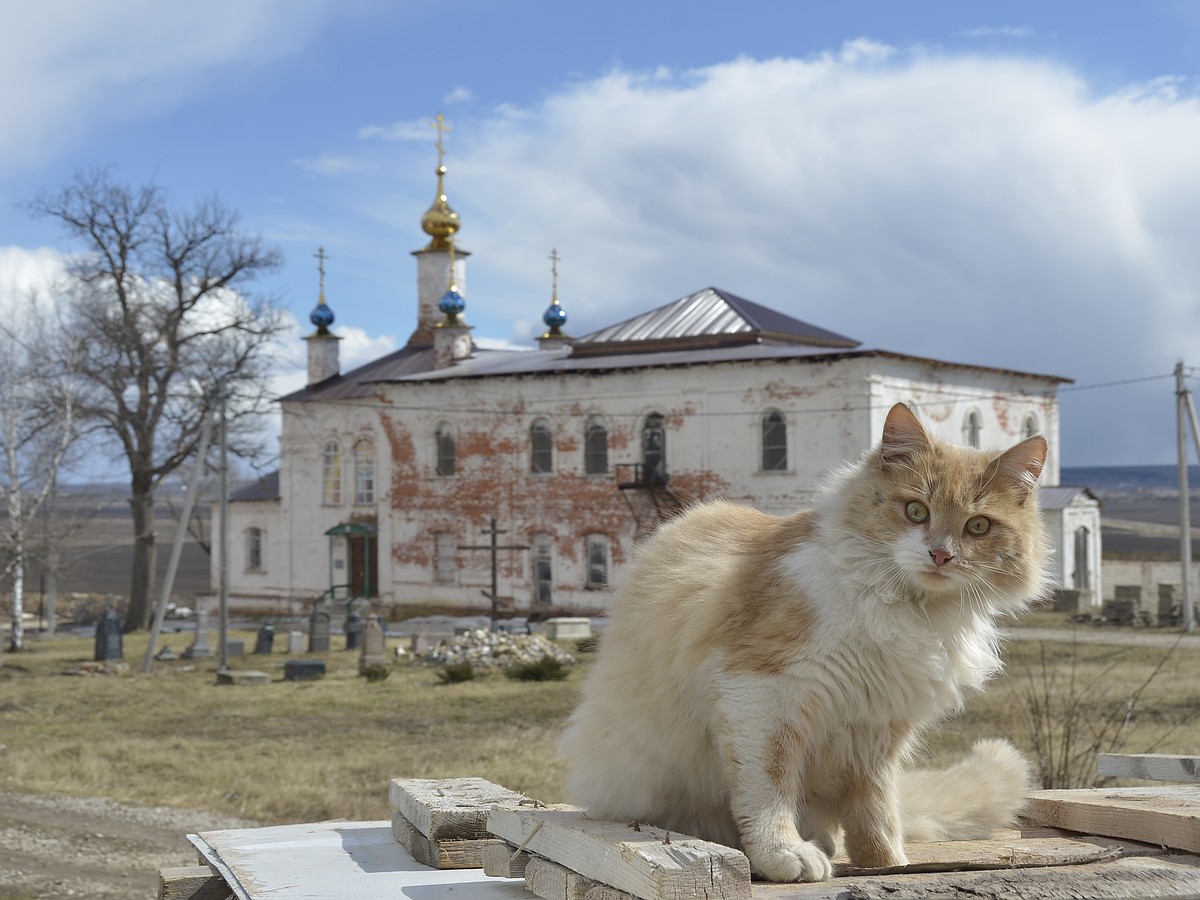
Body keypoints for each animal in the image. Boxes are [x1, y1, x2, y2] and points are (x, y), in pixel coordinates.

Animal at [561, 405, 1051, 883]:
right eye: (916, 511)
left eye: (978, 526)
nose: (941, 555)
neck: (908, 608)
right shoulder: (761, 693)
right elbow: (769, 788)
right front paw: (783, 853)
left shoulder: (877, 725)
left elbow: (876, 807)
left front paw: (887, 862)